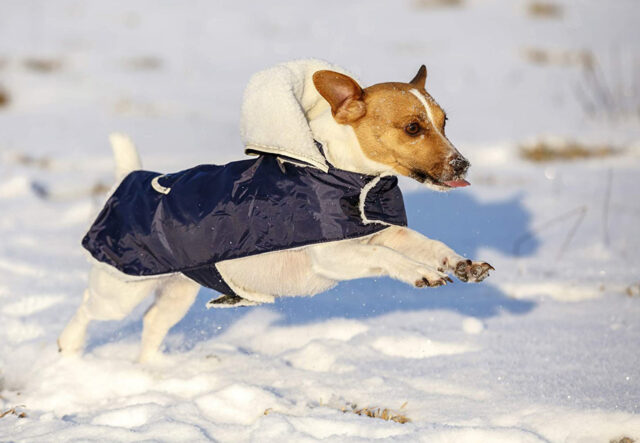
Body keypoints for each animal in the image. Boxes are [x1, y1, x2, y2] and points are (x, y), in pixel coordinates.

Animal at [57, 59, 492, 364]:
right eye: (413, 128)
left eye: (445, 122)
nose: (463, 165)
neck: (349, 178)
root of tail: (130, 177)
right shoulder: (333, 255)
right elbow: (388, 258)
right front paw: (420, 273)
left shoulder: (382, 232)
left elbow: (428, 245)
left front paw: (462, 264)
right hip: (119, 291)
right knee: (87, 309)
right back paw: (68, 349)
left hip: (177, 292)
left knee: (151, 325)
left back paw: (155, 372)